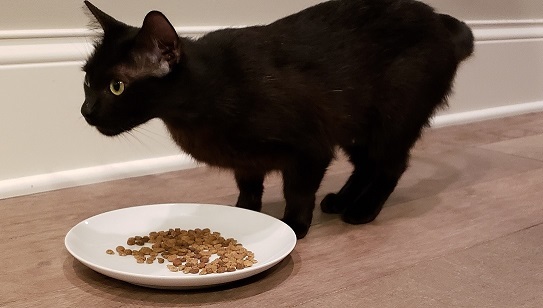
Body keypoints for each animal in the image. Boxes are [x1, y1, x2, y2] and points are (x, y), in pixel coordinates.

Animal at [82, 0, 476, 238]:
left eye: (117, 87)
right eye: (87, 81)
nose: (85, 111)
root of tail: (441, 22)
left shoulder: (311, 150)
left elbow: (297, 192)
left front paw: (294, 227)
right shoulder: (246, 162)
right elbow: (249, 189)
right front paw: (244, 214)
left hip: (390, 120)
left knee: (390, 167)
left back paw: (362, 210)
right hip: (353, 128)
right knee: (366, 166)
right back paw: (341, 201)